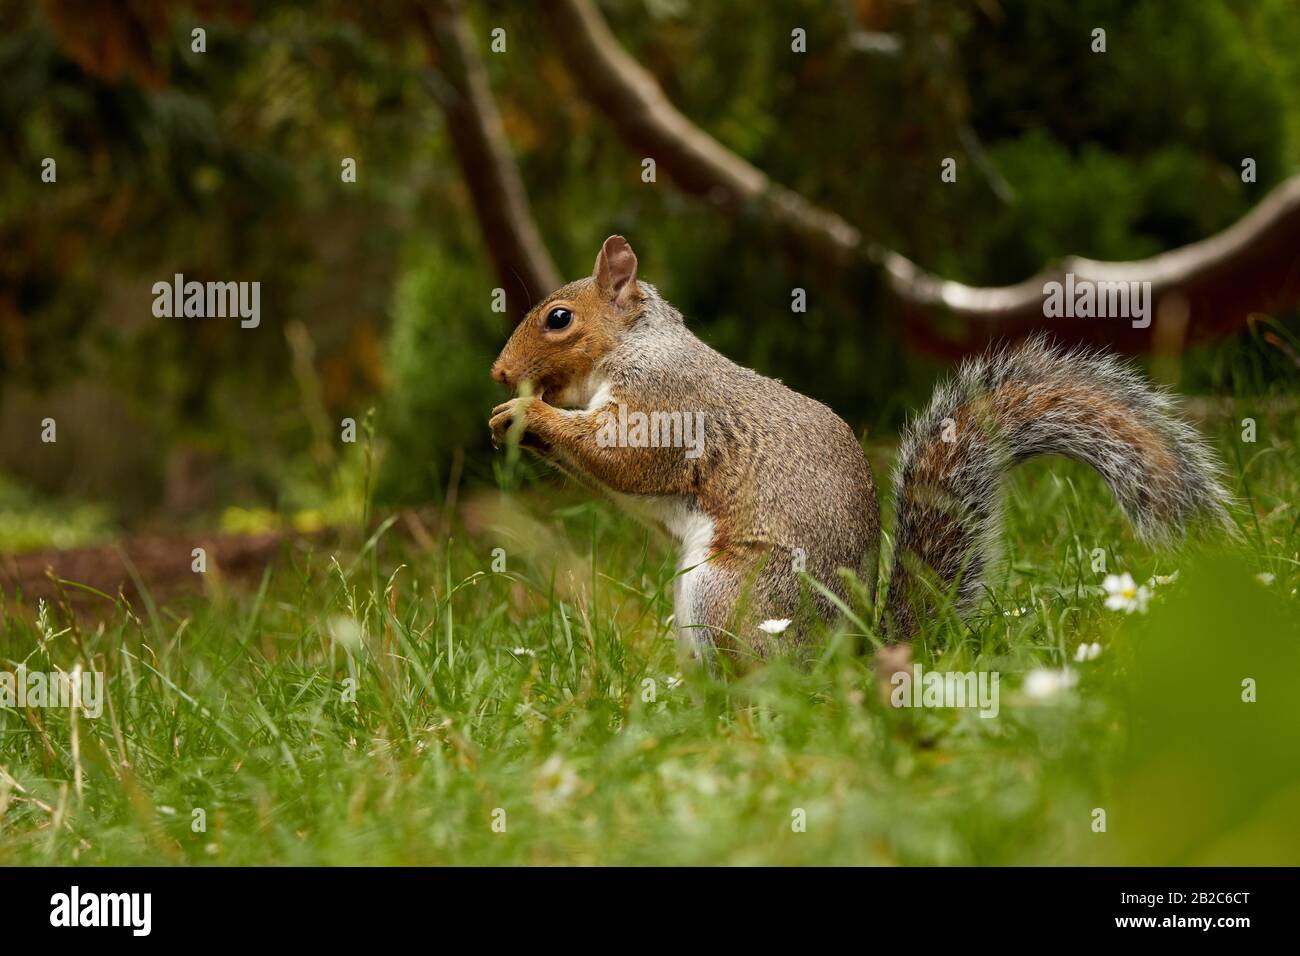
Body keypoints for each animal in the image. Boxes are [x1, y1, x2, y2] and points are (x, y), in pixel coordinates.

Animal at [488, 235, 1237, 660]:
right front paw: (511, 418)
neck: (637, 343)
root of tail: (848, 654)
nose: (499, 372)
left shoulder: (666, 404)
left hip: (727, 594)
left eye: (558, 319)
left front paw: (529, 411)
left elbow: (624, 456)